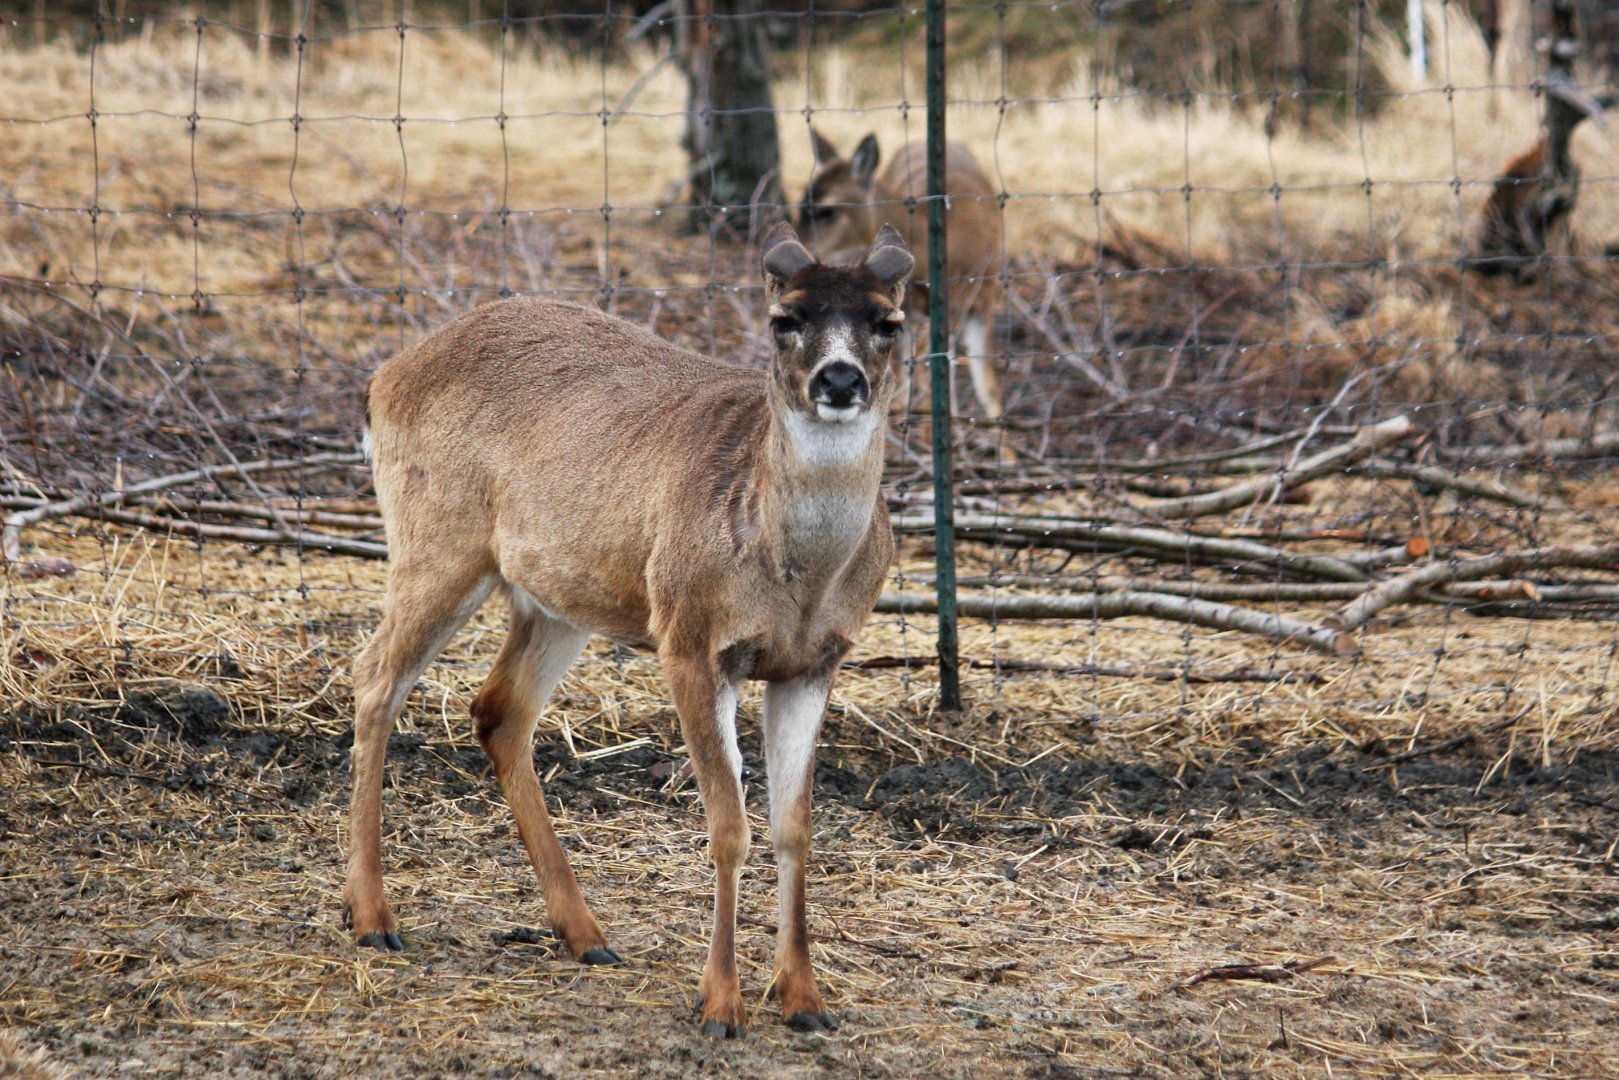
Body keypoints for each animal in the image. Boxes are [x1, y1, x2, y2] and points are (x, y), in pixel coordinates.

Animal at [343, 221, 912, 1039]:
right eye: (785, 318)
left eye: (888, 322)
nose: (839, 380)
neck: (797, 578)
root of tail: (386, 374)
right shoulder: (690, 640)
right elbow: (729, 824)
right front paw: (720, 1003)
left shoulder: (815, 661)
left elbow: (795, 825)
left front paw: (804, 1000)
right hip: (438, 542)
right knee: (376, 678)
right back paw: (372, 917)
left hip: (556, 596)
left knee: (498, 709)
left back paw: (585, 935)